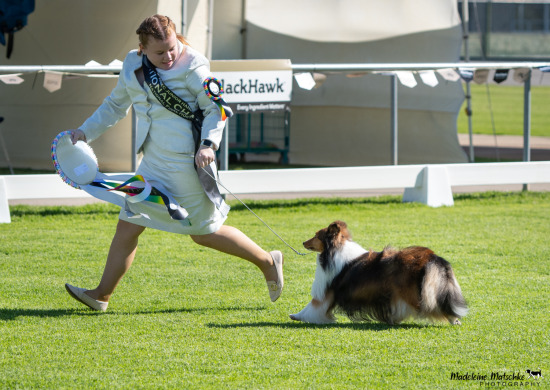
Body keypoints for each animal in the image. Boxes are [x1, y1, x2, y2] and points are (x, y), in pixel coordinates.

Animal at [292, 221, 468, 324]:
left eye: (316, 236)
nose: (303, 242)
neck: (334, 250)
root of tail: (432, 257)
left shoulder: (326, 292)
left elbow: (312, 306)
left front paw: (297, 316)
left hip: (417, 294)